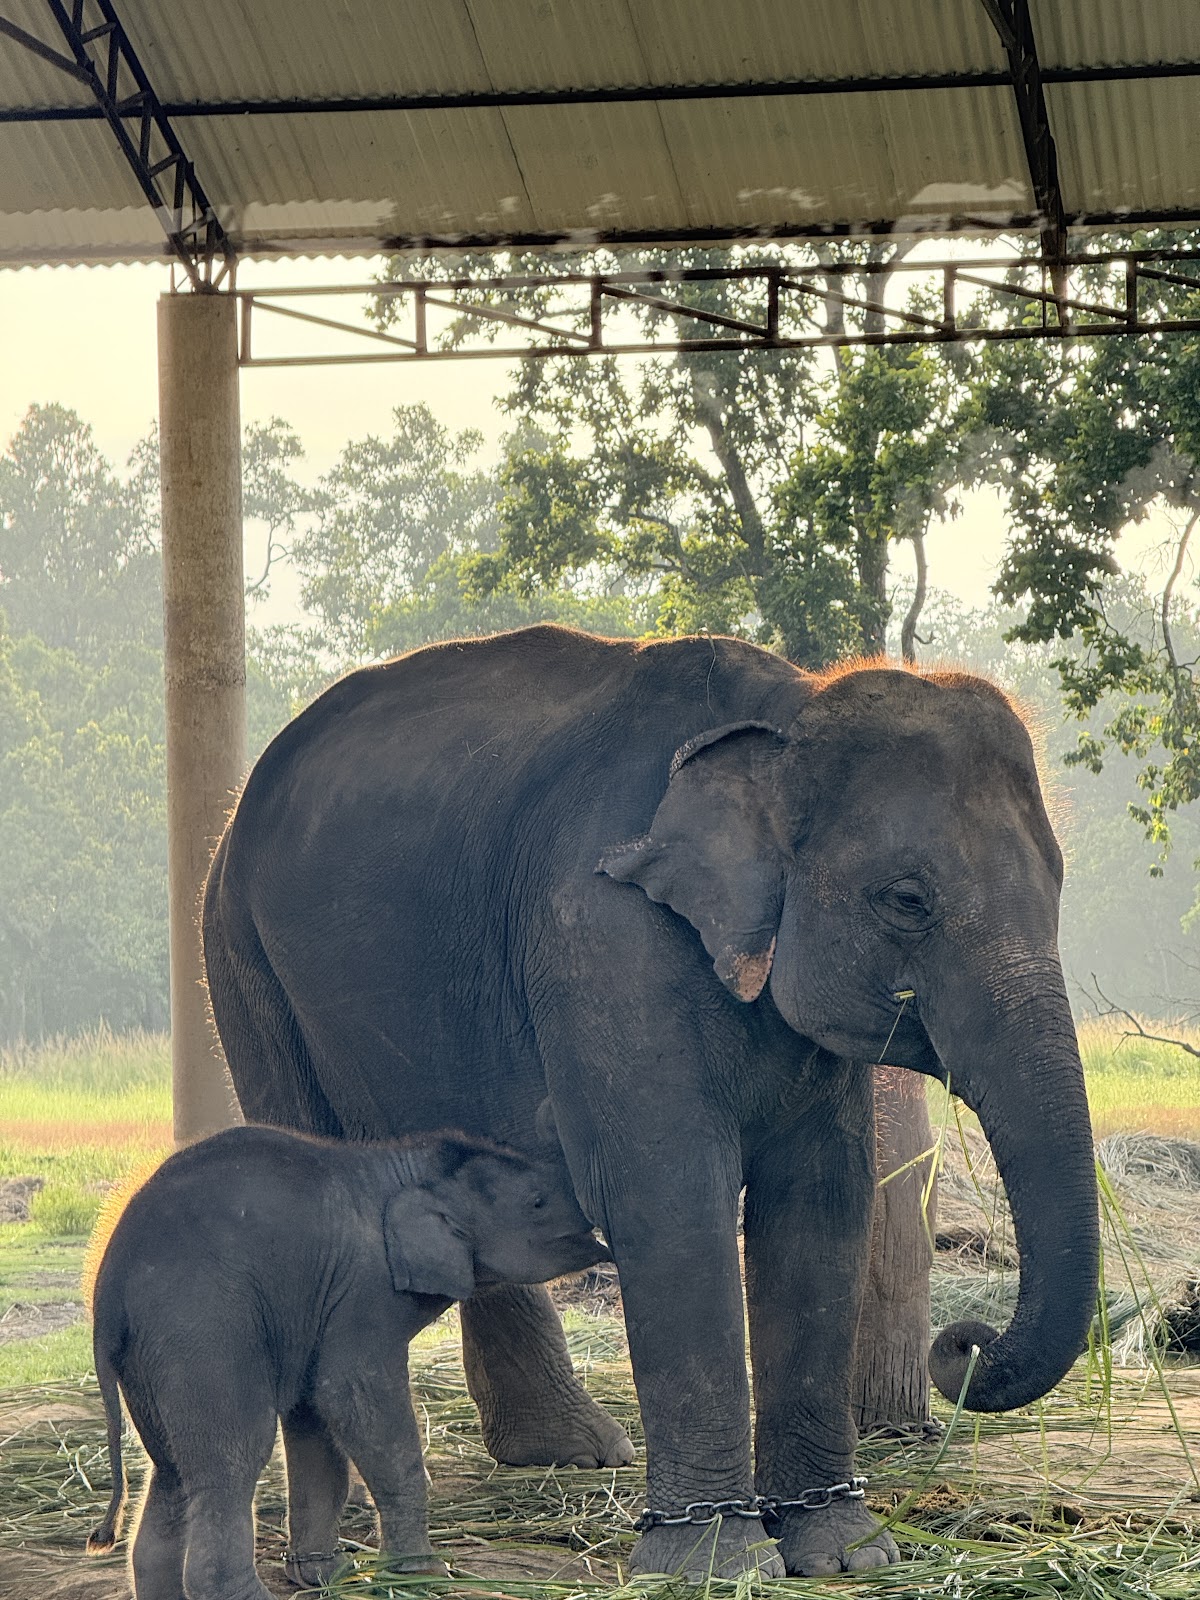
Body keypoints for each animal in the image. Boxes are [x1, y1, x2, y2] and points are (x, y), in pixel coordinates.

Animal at [87, 1124, 609, 1600]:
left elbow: (315, 1418)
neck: (408, 1167)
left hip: (148, 1354)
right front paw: (423, 1576)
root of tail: (107, 1284)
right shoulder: (364, 1290)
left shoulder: (316, 1306)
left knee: (171, 1470)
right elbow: (355, 1399)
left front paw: (330, 1577)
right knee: (232, 1458)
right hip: (202, 1330)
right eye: (537, 1202)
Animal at [202, 624, 1100, 1579]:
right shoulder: (600, 932)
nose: (966, 1341)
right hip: (243, 956)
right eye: (907, 900)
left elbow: (820, 1201)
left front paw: (841, 1553)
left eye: (1059, 885)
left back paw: (569, 1451)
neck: (788, 712)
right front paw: (716, 1563)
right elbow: (670, 1198)